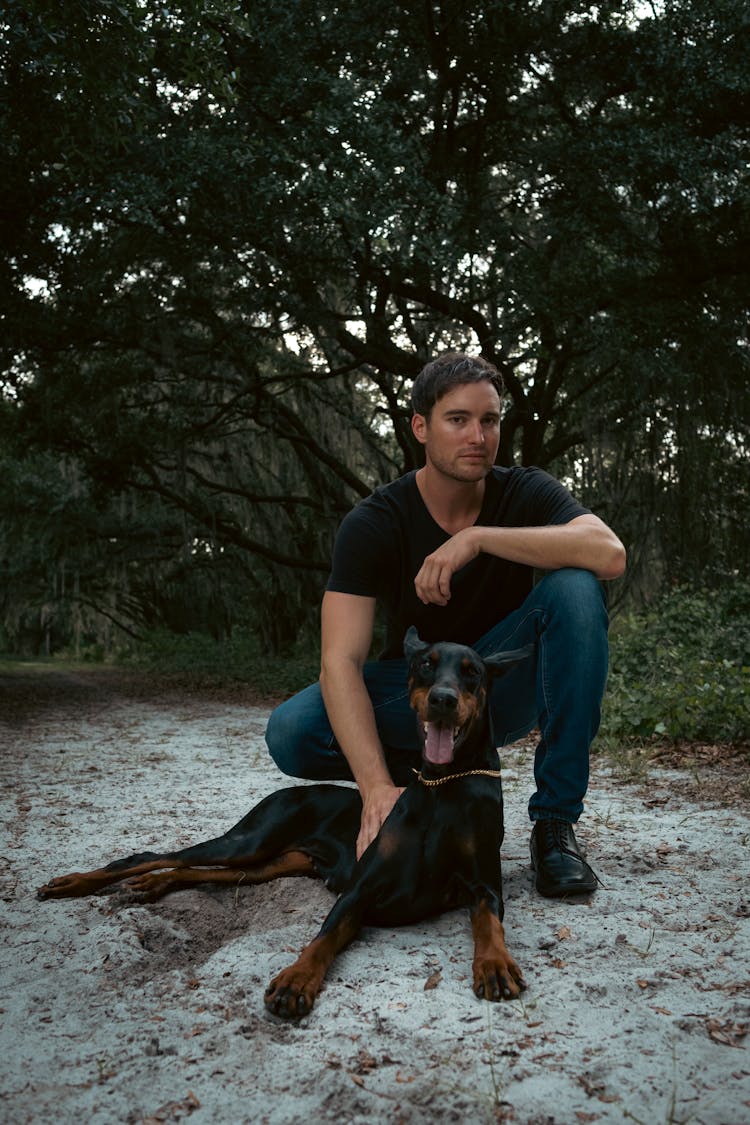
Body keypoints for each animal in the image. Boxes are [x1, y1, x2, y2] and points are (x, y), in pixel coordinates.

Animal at [38, 625, 530, 1021]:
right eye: (426, 665)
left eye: (472, 672)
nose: (443, 700)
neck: (443, 784)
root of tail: (285, 792)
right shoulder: (360, 889)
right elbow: (321, 939)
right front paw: (295, 979)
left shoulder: (483, 884)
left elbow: (489, 921)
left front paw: (495, 964)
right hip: (250, 839)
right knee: (152, 855)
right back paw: (75, 883)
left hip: (273, 862)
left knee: (192, 870)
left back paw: (153, 887)